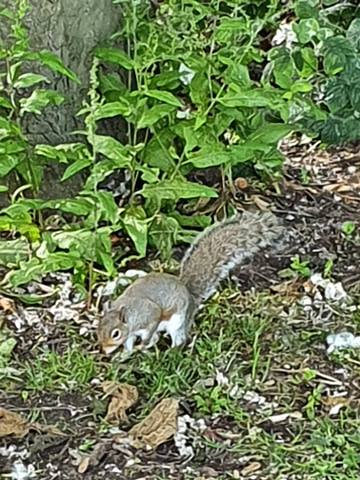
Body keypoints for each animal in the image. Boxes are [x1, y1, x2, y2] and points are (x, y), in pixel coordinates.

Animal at [97, 212, 284, 354]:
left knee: (178, 338)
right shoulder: (130, 334)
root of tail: (189, 294)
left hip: (178, 320)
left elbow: (150, 331)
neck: (129, 313)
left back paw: (170, 352)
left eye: (115, 334)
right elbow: (129, 343)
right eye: (98, 329)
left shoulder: (150, 316)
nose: (105, 351)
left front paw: (141, 345)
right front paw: (123, 355)